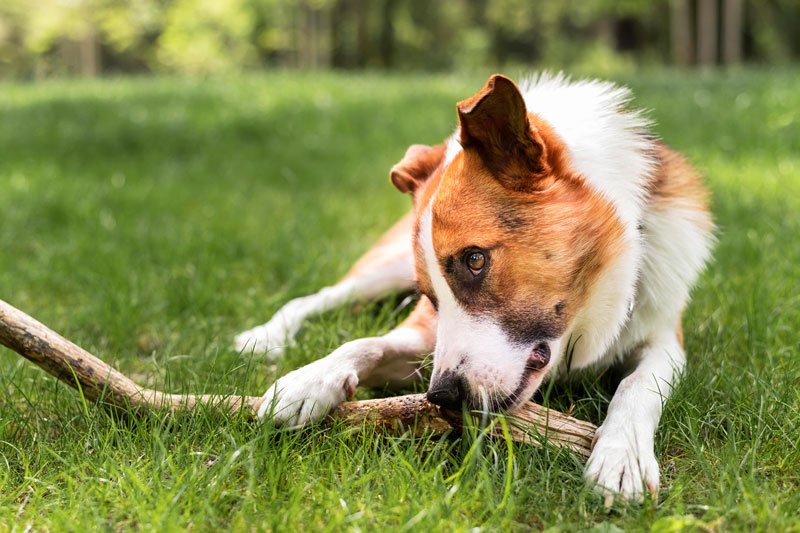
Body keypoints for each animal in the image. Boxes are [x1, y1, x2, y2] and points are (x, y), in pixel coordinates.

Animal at [234, 74, 716, 498]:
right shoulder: (424, 334)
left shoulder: (665, 341)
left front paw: (622, 454)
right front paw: (309, 379)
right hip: (381, 271)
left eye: (475, 259)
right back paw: (265, 335)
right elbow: (368, 343)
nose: (443, 397)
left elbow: (636, 387)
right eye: (430, 295)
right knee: (316, 297)